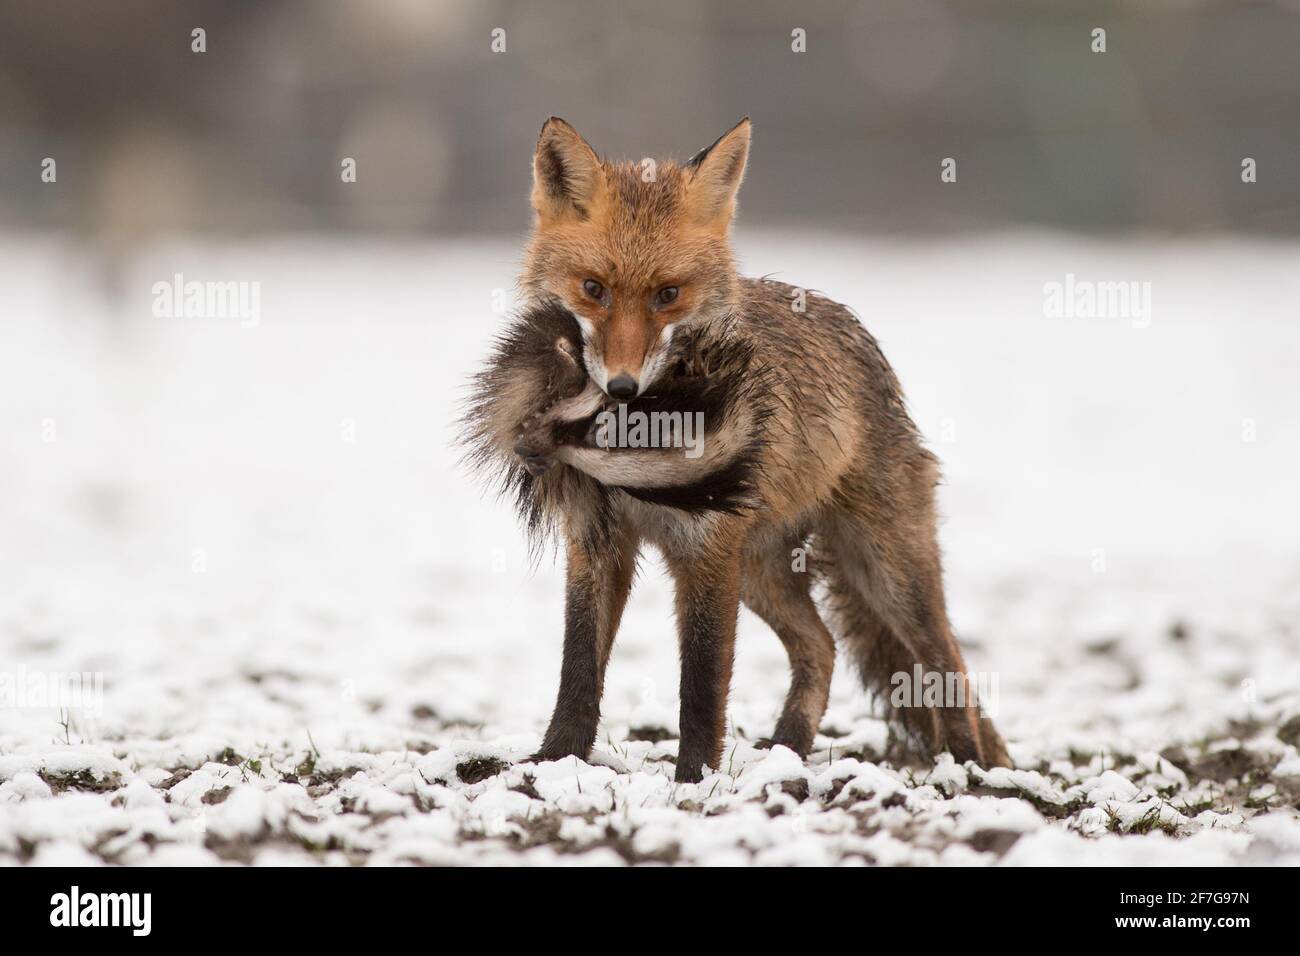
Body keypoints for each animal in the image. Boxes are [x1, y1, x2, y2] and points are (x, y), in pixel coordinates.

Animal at [462, 115, 1008, 780]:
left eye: (667, 294)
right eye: (593, 288)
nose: (621, 387)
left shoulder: (706, 543)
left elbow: (701, 681)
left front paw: (694, 779)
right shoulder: (597, 539)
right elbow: (578, 667)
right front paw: (555, 761)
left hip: (886, 571)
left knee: (947, 664)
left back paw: (970, 770)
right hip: (761, 572)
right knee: (822, 648)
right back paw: (787, 753)